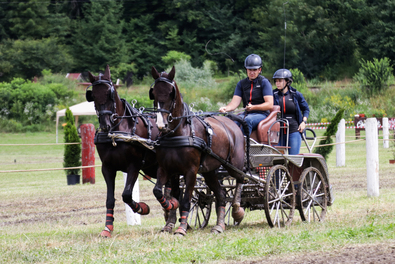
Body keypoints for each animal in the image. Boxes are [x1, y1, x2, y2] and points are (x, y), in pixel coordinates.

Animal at [87, 65, 160, 238]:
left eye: (110, 93)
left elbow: (126, 194)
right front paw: (108, 227)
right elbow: (110, 199)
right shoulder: (107, 168)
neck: (117, 132)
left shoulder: (133, 166)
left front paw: (142, 208)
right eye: (93, 95)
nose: (105, 125)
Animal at [150, 66, 246, 235]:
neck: (177, 133)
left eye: (170, 93)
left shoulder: (191, 171)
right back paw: (219, 225)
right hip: (209, 172)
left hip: (233, 165)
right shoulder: (167, 169)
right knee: (221, 195)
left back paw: (236, 211)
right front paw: (170, 207)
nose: (161, 124)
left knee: (241, 179)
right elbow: (160, 191)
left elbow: (186, 201)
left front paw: (181, 228)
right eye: (153, 93)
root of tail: (232, 123)